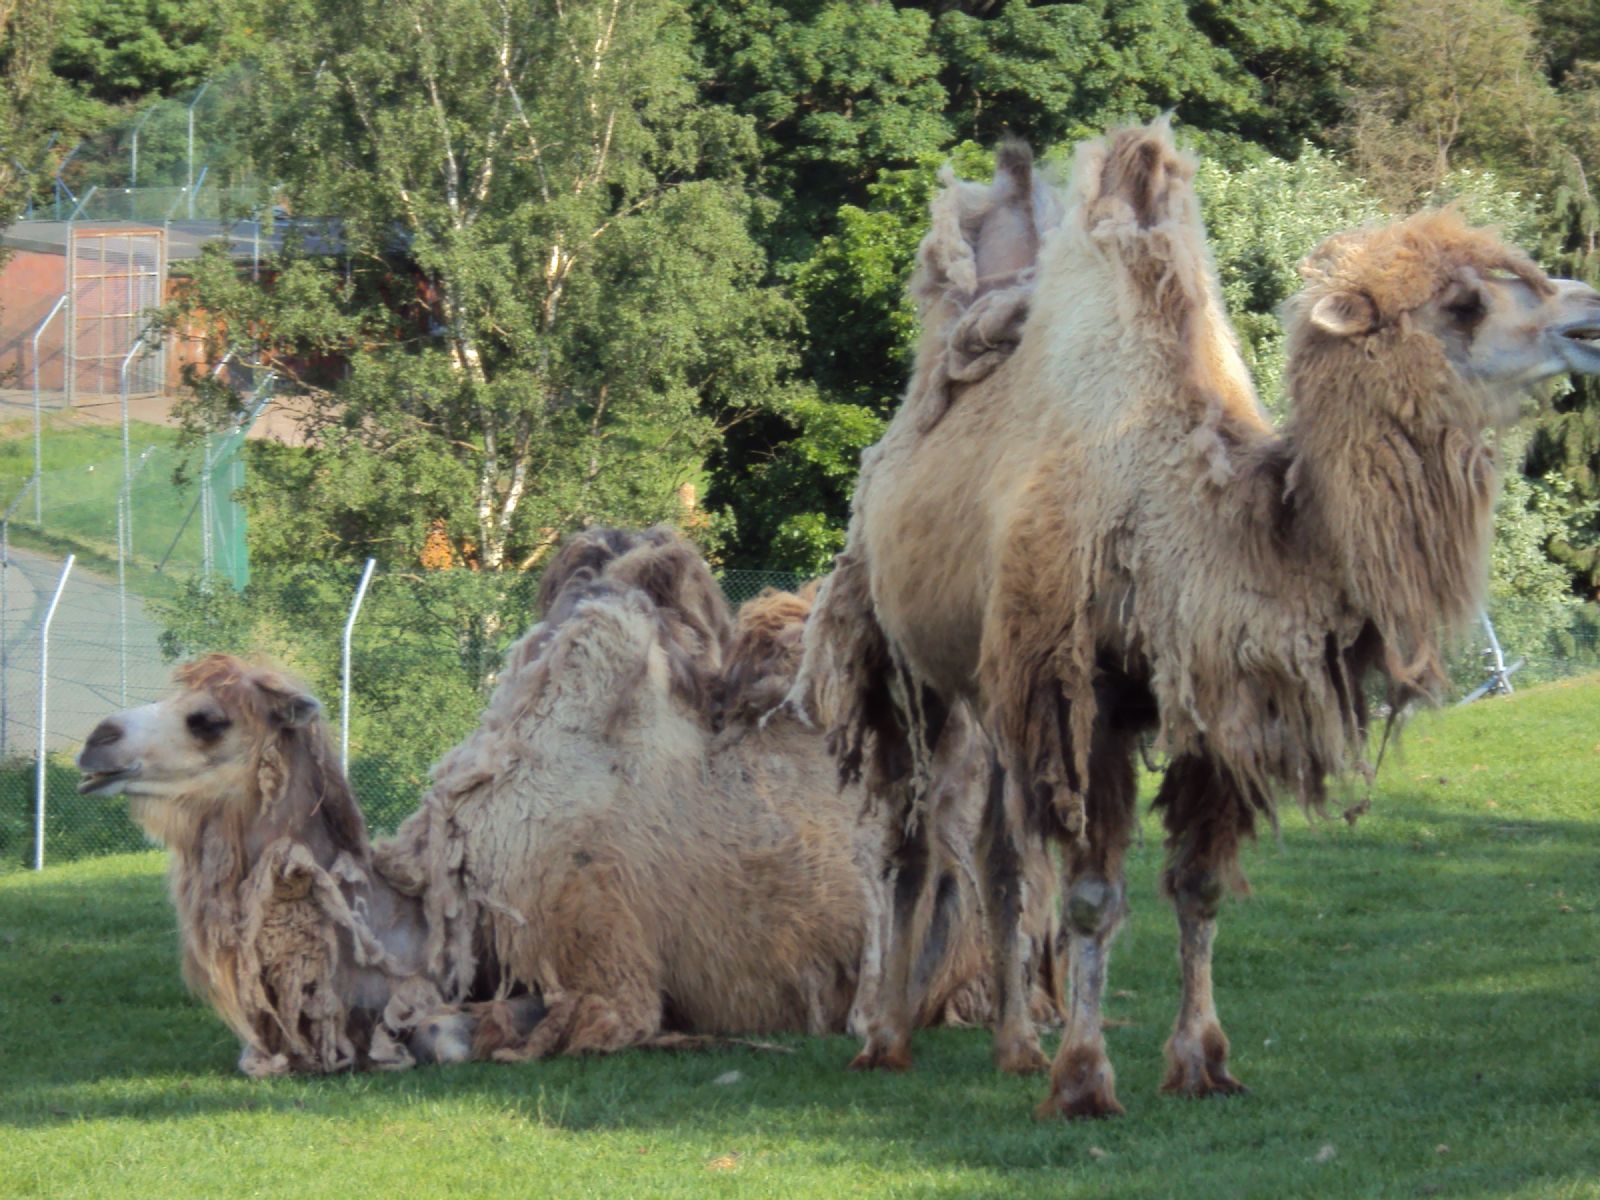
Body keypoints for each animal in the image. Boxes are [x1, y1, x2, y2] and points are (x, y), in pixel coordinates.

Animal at [800, 122, 1600, 1120]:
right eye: (1463, 302)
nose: (1589, 314)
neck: (1190, 517)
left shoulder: (1218, 698)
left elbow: (1200, 885)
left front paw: (1201, 1062)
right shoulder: (1092, 694)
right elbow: (1095, 895)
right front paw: (1085, 1080)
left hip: (996, 689)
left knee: (999, 851)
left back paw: (1016, 1046)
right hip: (901, 655)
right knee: (904, 836)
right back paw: (885, 1039)